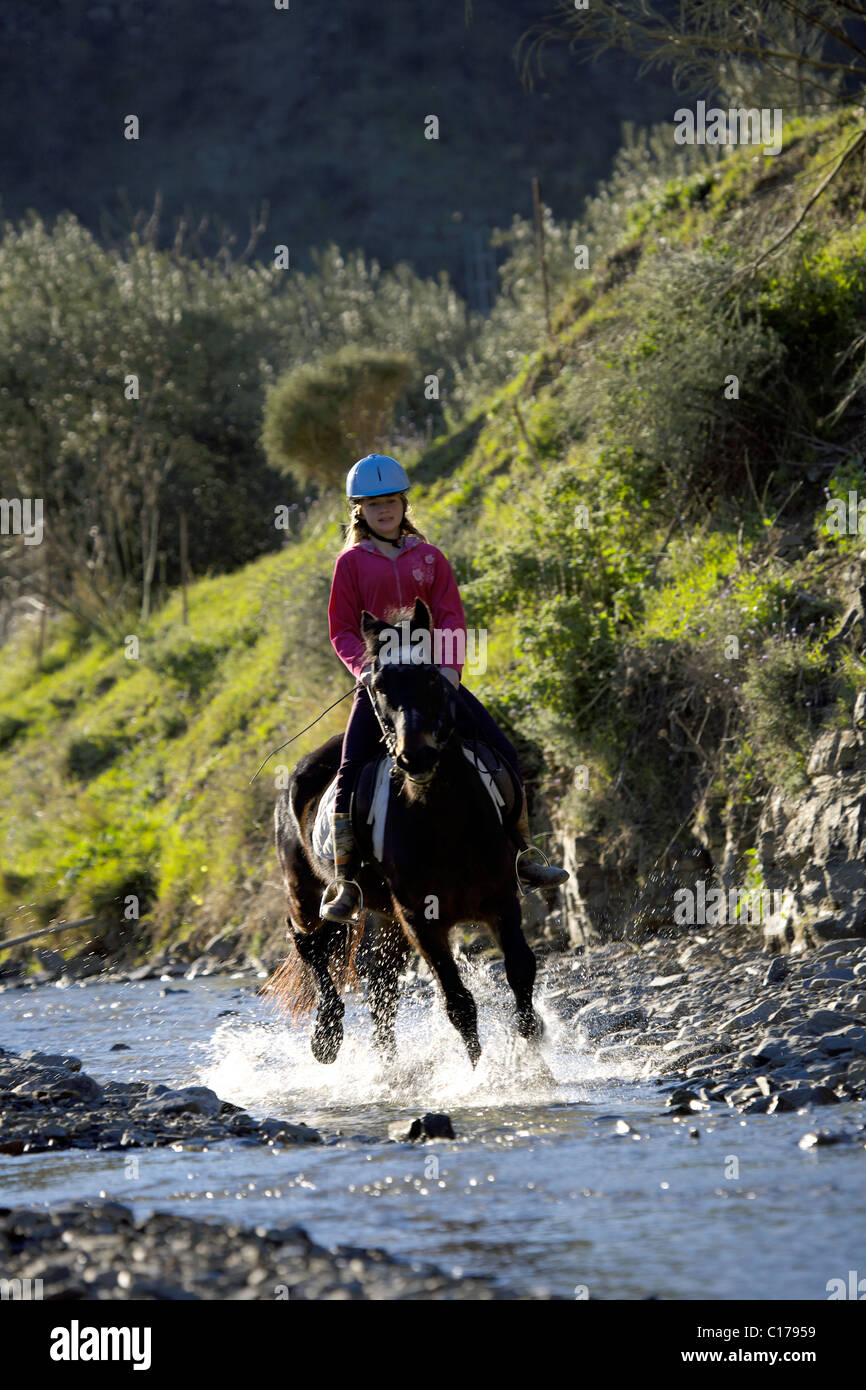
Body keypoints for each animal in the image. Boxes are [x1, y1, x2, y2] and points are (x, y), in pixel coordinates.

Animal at [261, 597, 544, 1061]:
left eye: (431, 676)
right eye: (377, 685)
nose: (417, 757)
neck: (443, 820)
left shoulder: (502, 899)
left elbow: (520, 972)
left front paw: (534, 1063)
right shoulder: (420, 920)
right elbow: (458, 1003)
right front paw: (481, 1073)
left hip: (385, 916)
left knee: (382, 988)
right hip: (303, 890)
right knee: (311, 945)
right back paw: (326, 1036)